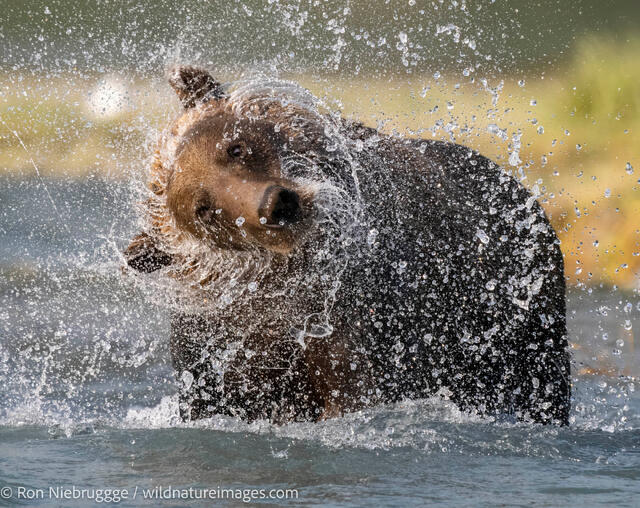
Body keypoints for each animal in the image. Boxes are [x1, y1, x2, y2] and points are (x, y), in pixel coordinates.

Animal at [124, 66, 571, 425]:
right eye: (204, 209)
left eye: (235, 147)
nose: (275, 204)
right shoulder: (220, 353)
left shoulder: (351, 317)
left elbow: (352, 385)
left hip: (524, 312)